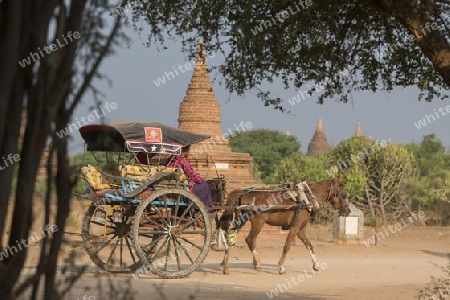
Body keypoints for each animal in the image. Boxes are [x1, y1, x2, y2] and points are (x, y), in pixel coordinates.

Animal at [220, 179, 350, 276]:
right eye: (344, 195)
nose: (348, 211)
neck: (306, 198)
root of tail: (243, 192)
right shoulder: (295, 227)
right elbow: (287, 246)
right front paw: (281, 268)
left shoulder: (299, 229)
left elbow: (309, 244)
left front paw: (316, 265)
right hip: (258, 222)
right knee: (250, 240)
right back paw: (257, 263)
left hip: (240, 220)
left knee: (230, 237)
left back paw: (225, 266)